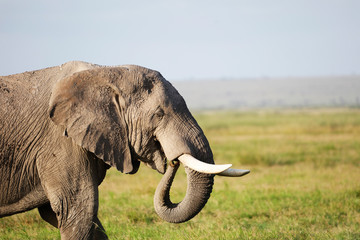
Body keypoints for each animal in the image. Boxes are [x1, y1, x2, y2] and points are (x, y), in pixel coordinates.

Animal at [0, 61, 249, 239]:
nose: (173, 160)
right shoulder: (59, 142)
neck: (104, 72)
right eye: (159, 114)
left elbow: (71, 217)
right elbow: (78, 210)